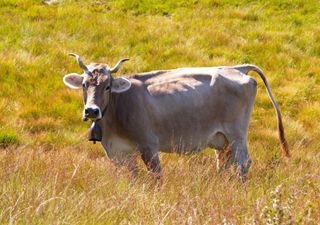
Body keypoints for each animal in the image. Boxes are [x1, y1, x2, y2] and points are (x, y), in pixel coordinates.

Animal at [63, 53, 290, 178]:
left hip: (237, 133)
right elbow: (131, 178)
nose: (92, 110)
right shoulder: (118, 152)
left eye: (108, 86)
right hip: (222, 138)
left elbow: (156, 176)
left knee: (243, 163)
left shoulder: (148, 146)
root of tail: (237, 68)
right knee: (225, 162)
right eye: (84, 85)